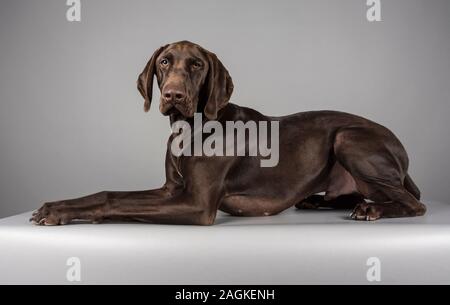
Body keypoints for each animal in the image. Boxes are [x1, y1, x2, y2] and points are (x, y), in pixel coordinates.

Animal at [30, 40, 426, 224]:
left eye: (196, 64)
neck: (189, 129)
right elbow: (109, 193)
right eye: (164, 62)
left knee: (414, 203)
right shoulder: (170, 189)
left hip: (349, 137)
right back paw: (323, 201)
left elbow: (117, 205)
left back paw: (371, 210)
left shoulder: (196, 204)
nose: (173, 95)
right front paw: (54, 206)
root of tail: (402, 150)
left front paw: (64, 215)